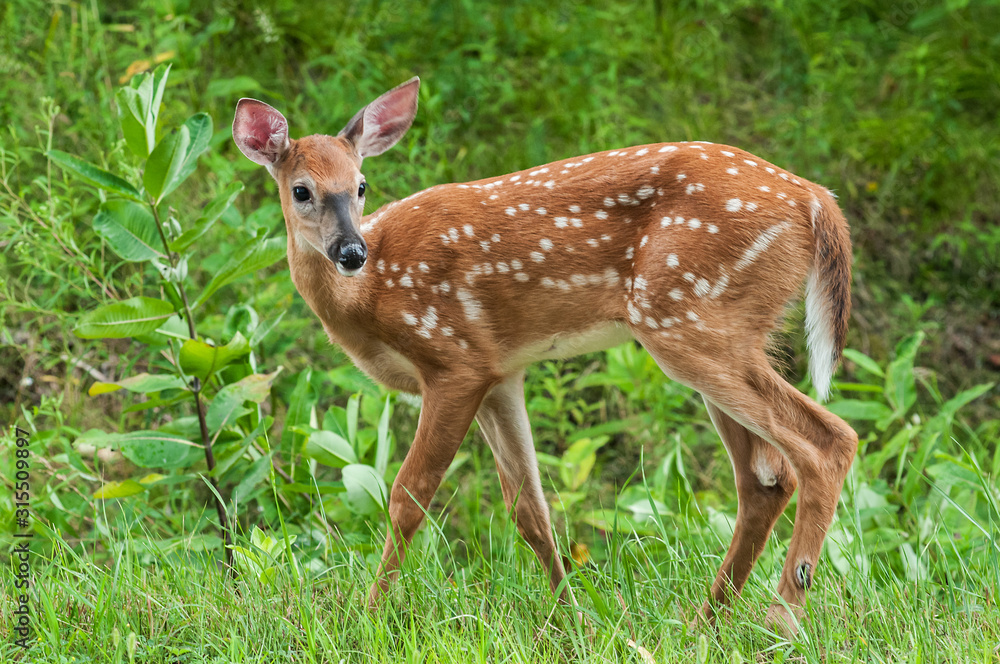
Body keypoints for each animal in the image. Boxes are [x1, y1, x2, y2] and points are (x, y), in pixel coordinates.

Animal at [234, 78, 860, 632]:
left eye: (361, 185)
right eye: (302, 190)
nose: (351, 252)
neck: (372, 297)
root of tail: (816, 201)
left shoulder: (453, 360)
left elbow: (408, 495)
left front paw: (366, 617)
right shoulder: (500, 373)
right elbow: (529, 509)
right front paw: (574, 620)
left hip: (688, 318)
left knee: (826, 441)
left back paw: (782, 618)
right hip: (719, 329)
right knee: (765, 479)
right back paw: (705, 624)